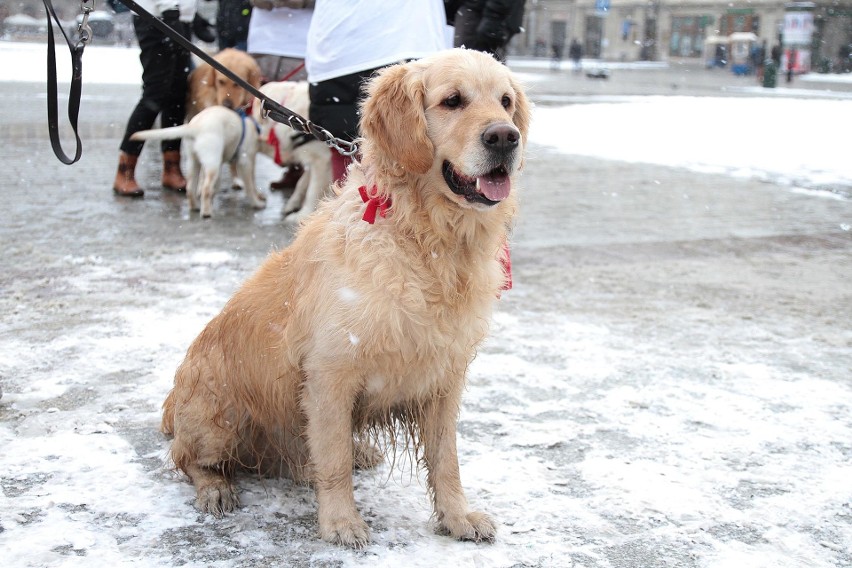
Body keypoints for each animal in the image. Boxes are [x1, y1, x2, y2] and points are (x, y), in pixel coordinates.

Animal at [129, 105, 262, 217]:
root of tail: (194, 127)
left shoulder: (219, 164)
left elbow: (217, 186)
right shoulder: (245, 161)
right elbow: (250, 185)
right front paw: (256, 202)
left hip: (194, 162)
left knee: (190, 188)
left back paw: (196, 207)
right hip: (212, 163)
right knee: (206, 188)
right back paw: (206, 213)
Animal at [251, 82, 334, 224]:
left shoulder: (322, 160)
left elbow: (313, 191)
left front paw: (303, 215)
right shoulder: (312, 157)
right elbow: (302, 183)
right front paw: (293, 203)